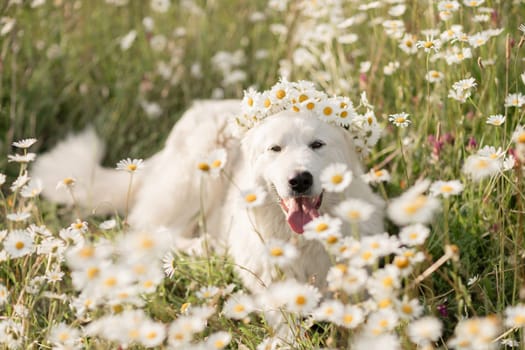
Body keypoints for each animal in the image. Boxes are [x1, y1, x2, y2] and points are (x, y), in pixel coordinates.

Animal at [33, 89, 384, 292]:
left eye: (317, 145)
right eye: (275, 148)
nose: (299, 180)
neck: (301, 239)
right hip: (197, 171)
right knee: (151, 232)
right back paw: (203, 248)